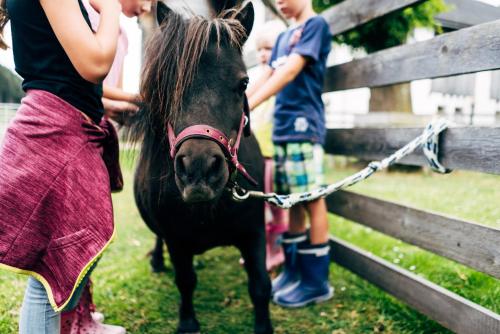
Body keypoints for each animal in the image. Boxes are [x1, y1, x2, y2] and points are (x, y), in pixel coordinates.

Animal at [127, 2, 272, 334]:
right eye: (167, 84)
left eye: (244, 83)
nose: (199, 170)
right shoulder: (177, 240)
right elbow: (185, 280)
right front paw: (187, 322)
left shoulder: (254, 233)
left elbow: (260, 284)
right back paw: (157, 261)